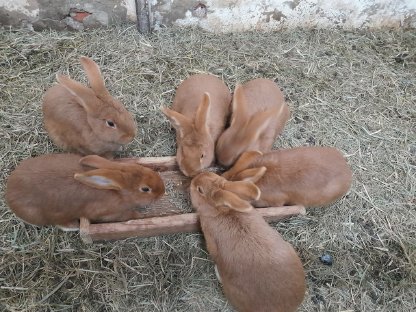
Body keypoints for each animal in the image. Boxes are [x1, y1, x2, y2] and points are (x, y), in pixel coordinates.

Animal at [4, 153, 165, 229]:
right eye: (145, 189)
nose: (162, 192)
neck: (117, 191)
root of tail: (9, 192)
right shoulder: (106, 213)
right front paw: (139, 215)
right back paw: (73, 226)